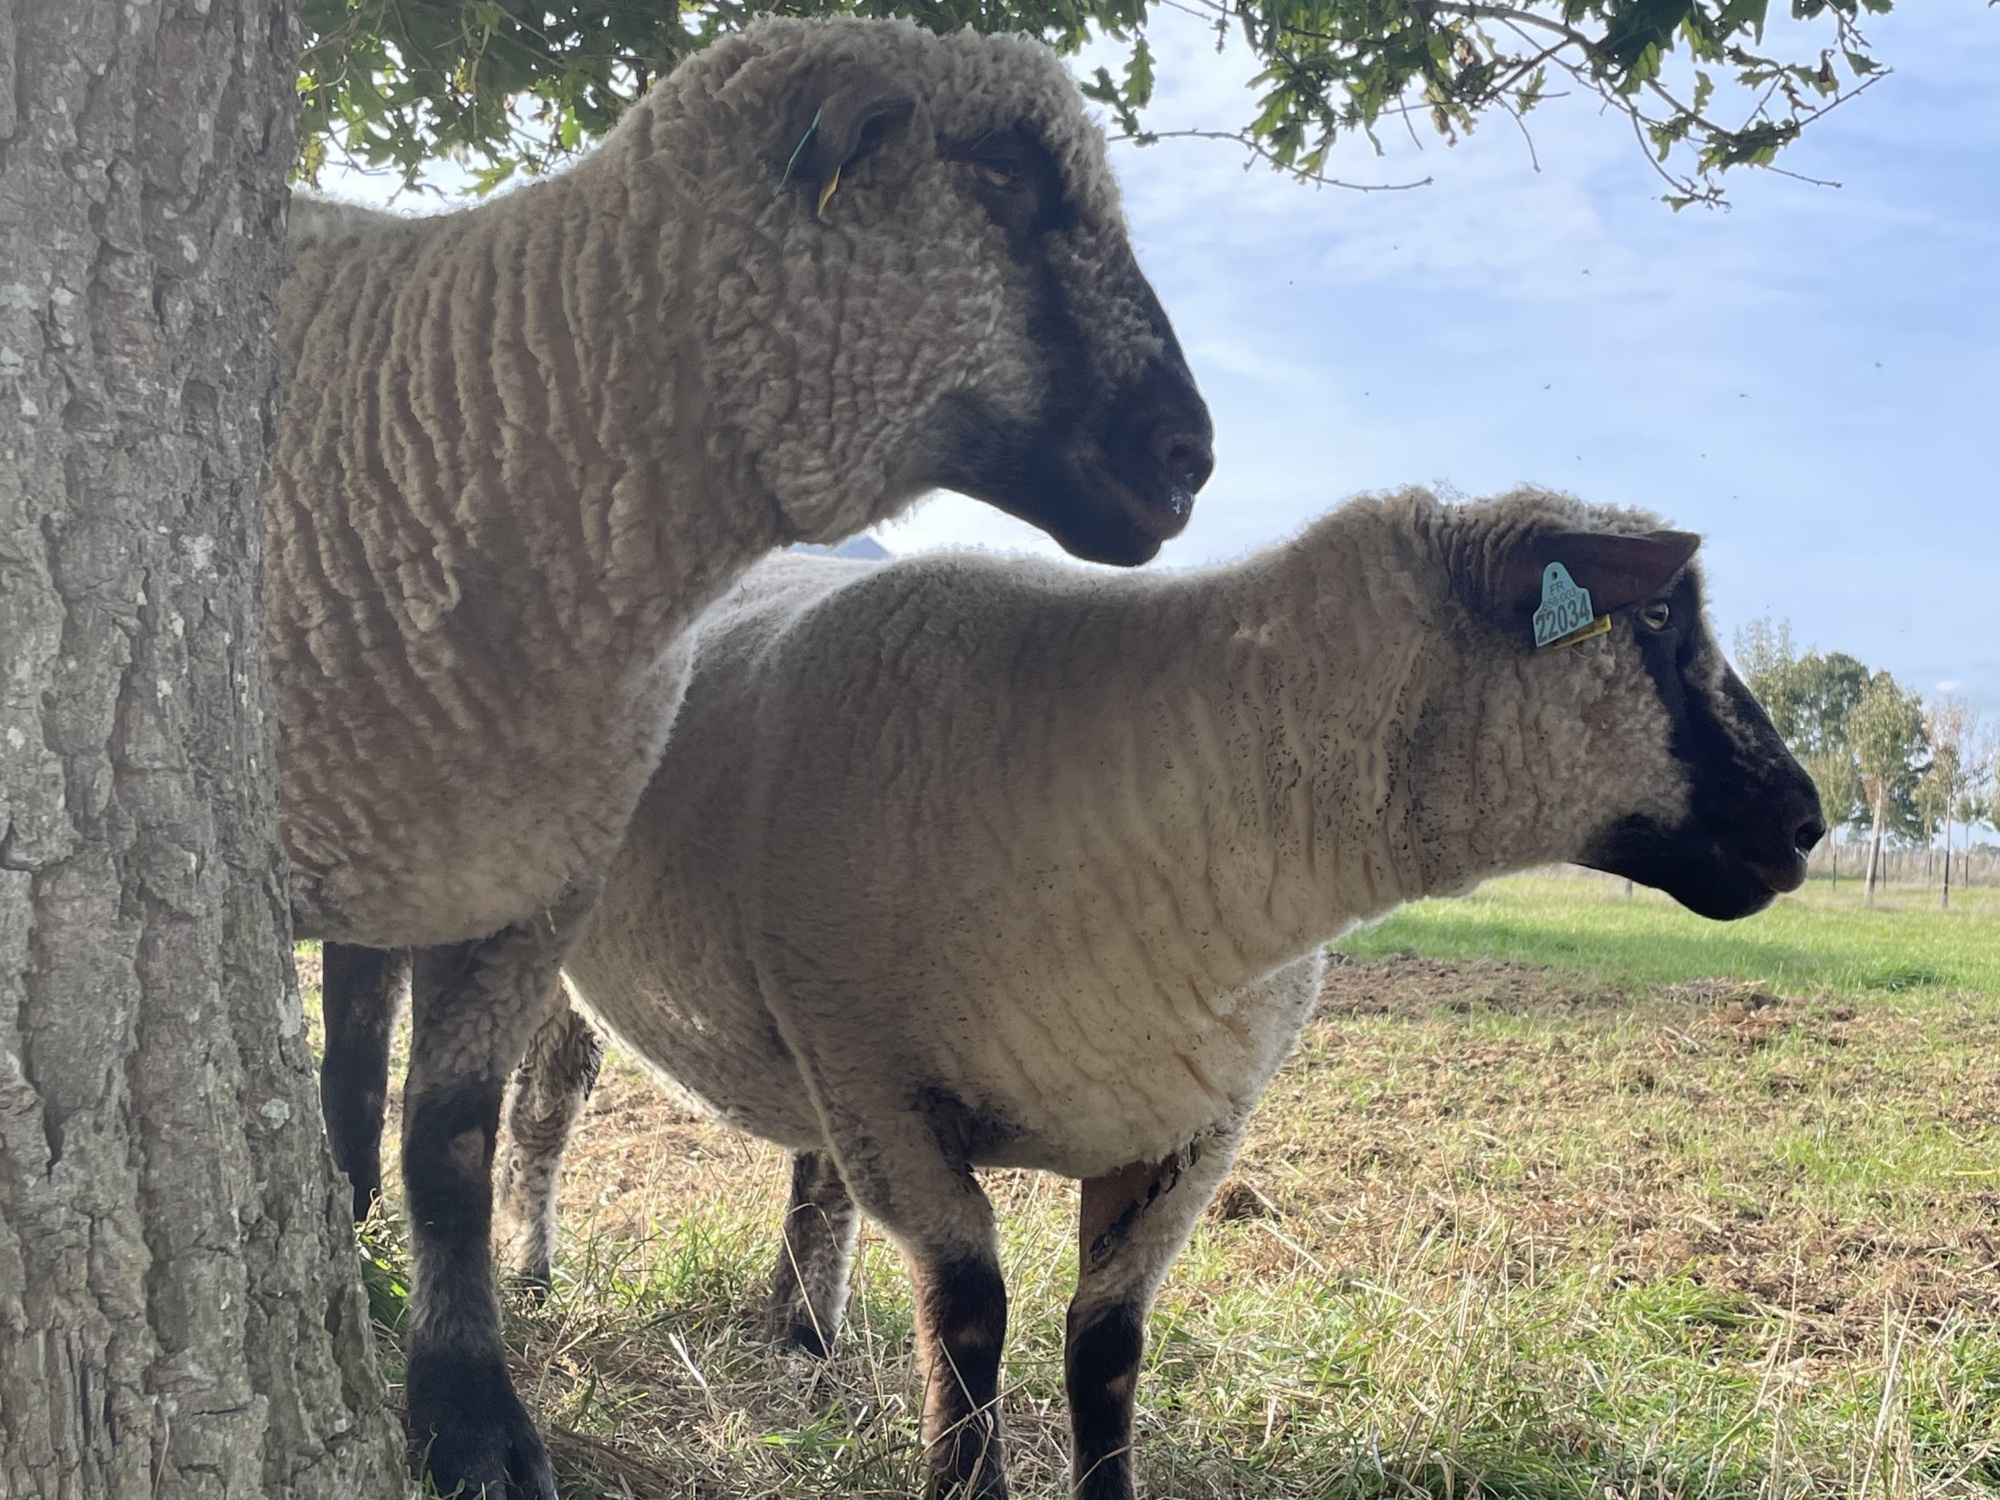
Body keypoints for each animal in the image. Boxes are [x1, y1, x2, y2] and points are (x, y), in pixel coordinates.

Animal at [278, 17, 1213, 1496]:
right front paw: (446, 1384)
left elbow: (451, 1135)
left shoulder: (536, 886)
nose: (1192, 455)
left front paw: (466, 1409)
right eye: (1003, 176)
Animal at [496, 485, 1823, 1499]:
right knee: (538, 1114)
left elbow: (1106, 1352)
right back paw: (521, 1272)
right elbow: (969, 1322)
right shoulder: (890, 1097)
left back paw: (804, 1338)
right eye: (1658, 616)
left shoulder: (1185, 1135)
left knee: (802, 1183)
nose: (1804, 823)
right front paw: (964, 1481)